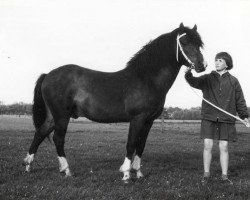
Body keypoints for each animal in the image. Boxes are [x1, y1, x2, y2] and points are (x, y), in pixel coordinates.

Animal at [23, 22, 207, 182]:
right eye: (184, 41)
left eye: (199, 44)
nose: (202, 65)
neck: (146, 79)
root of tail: (48, 75)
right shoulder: (137, 119)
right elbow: (131, 144)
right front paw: (126, 174)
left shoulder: (149, 121)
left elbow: (141, 145)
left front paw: (138, 173)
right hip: (62, 116)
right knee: (58, 138)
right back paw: (67, 170)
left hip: (52, 116)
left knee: (40, 133)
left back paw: (29, 166)